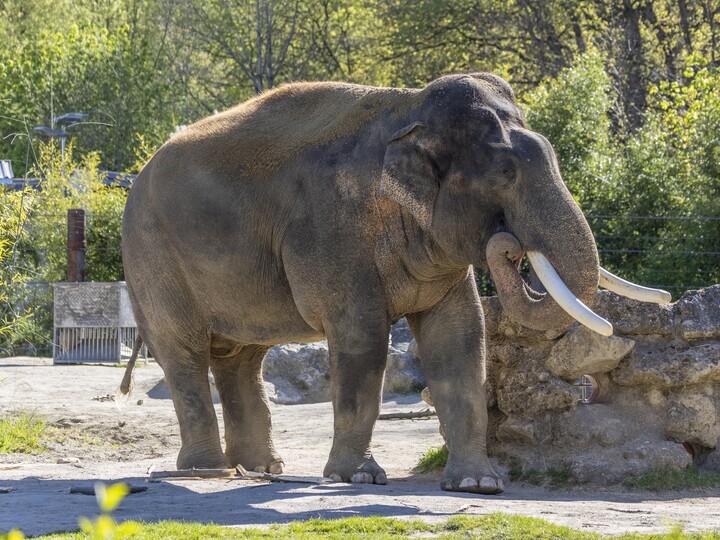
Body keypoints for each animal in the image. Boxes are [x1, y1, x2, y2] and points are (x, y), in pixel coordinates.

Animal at [122, 73, 669, 494]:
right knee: (184, 352)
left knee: (242, 357)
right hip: (151, 255)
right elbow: (363, 338)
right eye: (505, 172)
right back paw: (207, 471)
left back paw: (261, 469)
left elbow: (460, 338)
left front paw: (478, 484)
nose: (508, 245)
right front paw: (358, 479)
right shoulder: (333, 230)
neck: (408, 108)